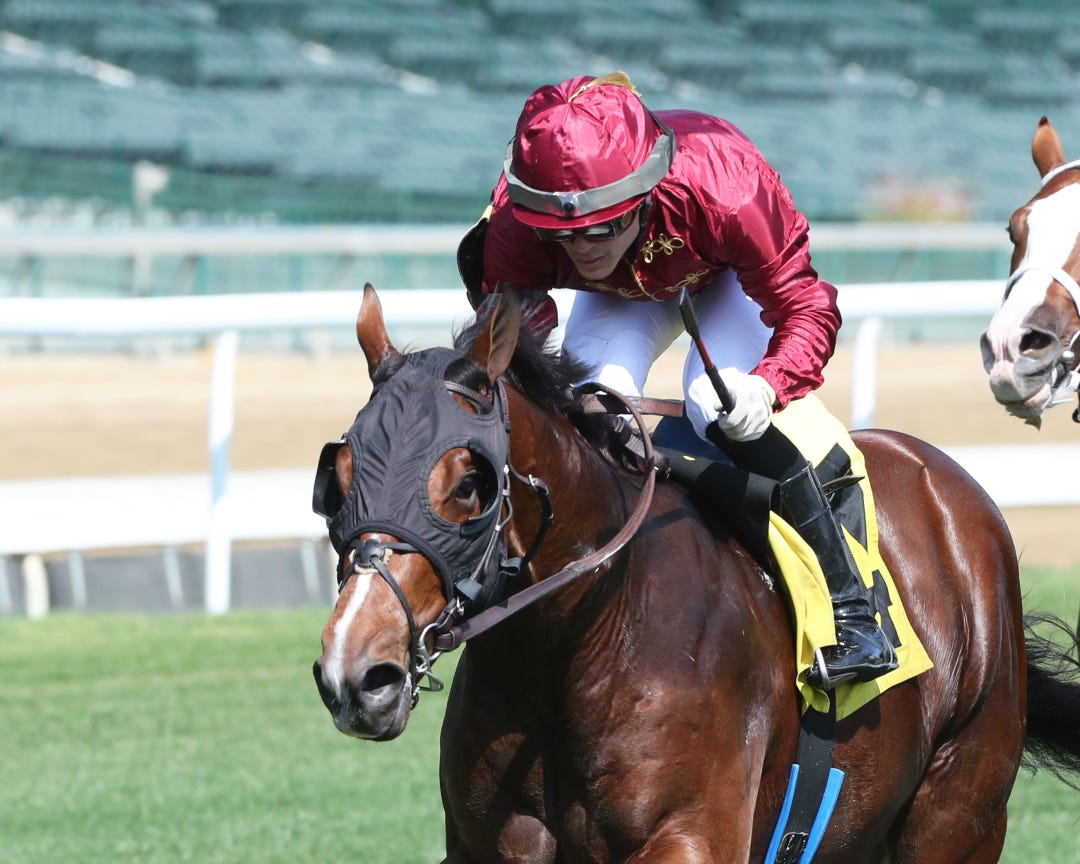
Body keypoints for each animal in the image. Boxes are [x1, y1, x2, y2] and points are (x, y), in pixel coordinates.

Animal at [313, 284, 1080, 863]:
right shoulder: (488, 845)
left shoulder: (687, 837)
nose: (356, 674)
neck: (583, 641)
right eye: (339, 477)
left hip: (959, 813)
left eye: (469, 484)